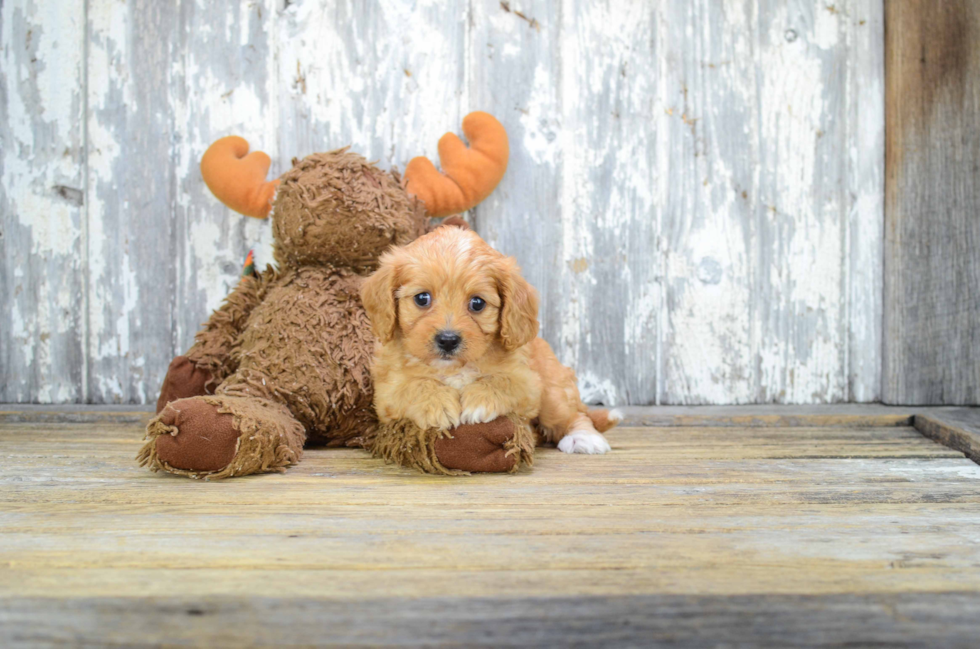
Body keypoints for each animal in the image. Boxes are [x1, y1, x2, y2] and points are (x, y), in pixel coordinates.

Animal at [360, 225, 620, 454]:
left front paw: (479, 401)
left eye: (477, 303)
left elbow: (501, 380)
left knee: (573, 415)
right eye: (422, 298)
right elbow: (416, 385)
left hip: (553, 390)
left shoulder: (528, 382)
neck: (454, 368)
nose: (447, 340)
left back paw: (583, 438)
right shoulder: (387, 391)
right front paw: (438, 404)